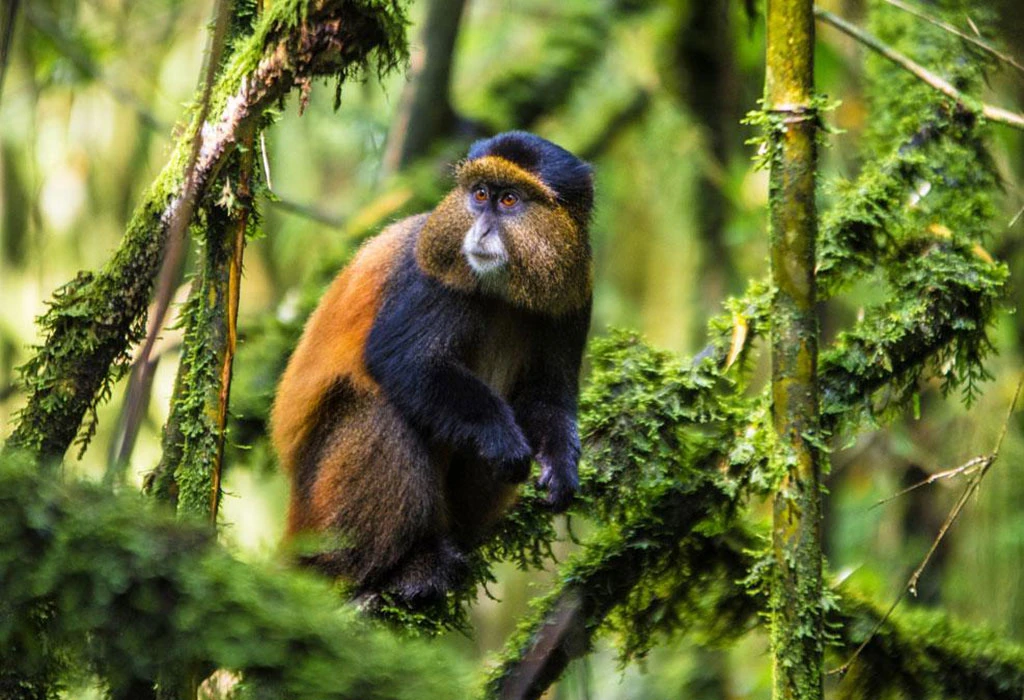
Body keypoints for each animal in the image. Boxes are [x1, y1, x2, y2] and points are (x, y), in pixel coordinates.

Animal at [270, 131, 594, 602]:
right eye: (480, 195)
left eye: (509, 200)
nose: (480, 229)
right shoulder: (432, 278)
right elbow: (405, 362)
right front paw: (501, 438)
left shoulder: (573, 297)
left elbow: (547, 396)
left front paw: (561, 466)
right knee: (381, 410)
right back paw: (402, 567)